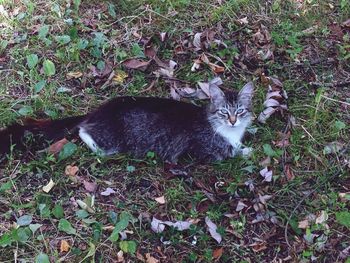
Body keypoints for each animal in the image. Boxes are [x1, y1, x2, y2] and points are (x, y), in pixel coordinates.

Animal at [0, 82, 253, 163]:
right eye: (224, 112)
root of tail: (97, 112)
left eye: (240, 111)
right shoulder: (204, 152)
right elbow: (232, 153)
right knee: (84, 132)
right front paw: (249, 152)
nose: (232, 121)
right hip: (112, 139)